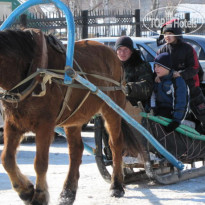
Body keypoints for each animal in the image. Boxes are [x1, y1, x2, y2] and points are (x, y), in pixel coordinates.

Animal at [0, 29, 125, 205]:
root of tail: (113, 53)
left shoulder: (45, 126)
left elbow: (40, 163)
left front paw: (39, 196)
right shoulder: (13, 124)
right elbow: (7, 159)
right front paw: (26, 191)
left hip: (112, 108)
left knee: (116, 145)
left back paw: (116, 185)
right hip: (74, 118)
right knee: (76, 151)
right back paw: (68, 192)